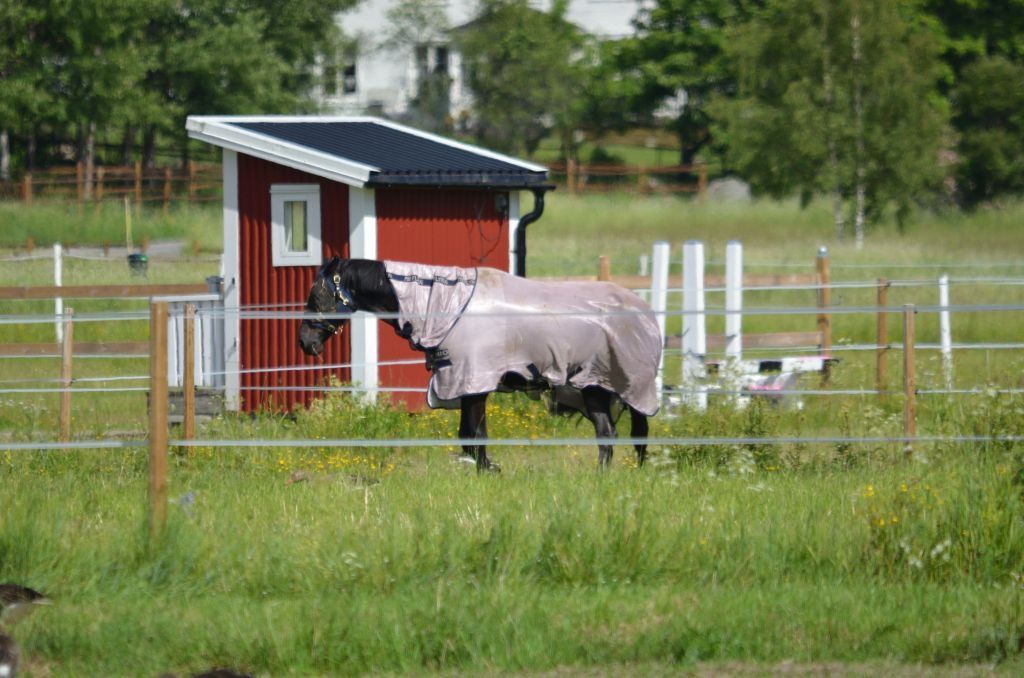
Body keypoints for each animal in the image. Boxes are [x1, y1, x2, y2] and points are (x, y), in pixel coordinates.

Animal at [299, 258, 663, 475]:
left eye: (318, 295)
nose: (305, 342)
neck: (450, 307)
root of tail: (645, 312)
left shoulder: (474, 384)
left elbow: (474, 436)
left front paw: (487, 470)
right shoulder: (467, 386)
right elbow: (469, 437)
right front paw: (485, 469)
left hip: (622, 387)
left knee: (627, 434)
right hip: (595, 388)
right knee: (609, 434)